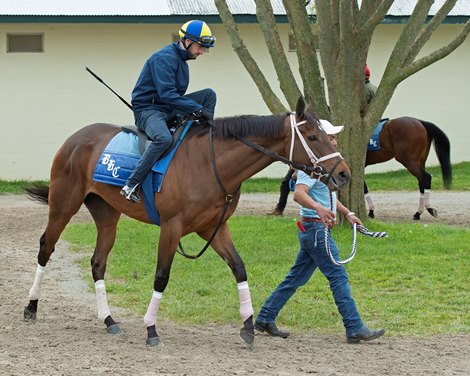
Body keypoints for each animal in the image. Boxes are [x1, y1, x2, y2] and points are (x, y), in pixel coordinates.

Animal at [23, 97, 350, 346]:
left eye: (326, 135)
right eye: (313, 137)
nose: (344, 173)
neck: (208, 162)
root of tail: (76, 138)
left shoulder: (213, 228)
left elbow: (239, 268)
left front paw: (247, 326)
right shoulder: (172, 227)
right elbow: (161, 276)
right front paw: (151, 329)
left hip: (106, 215)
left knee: (98, 263)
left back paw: (109, 320)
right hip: (64, 205)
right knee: (46, 248)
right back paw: (31, 306)